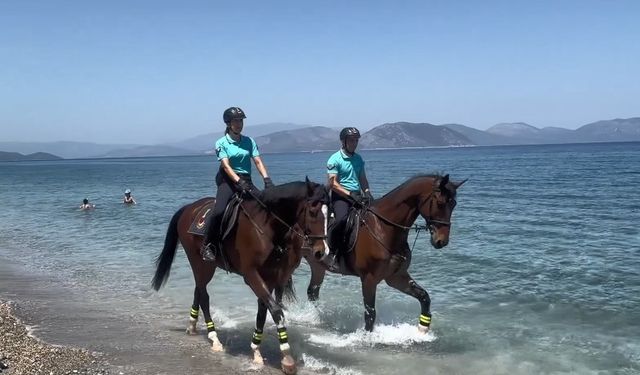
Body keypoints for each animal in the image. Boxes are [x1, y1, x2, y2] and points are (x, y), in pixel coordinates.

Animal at [152, 180, 328, 375]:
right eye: (313, 212)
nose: (321, 251)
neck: (267, 228)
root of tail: (189, 207)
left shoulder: (272, 277)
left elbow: (263, 311)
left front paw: (257, 350)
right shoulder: (251, 275)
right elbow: (276, 310)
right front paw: (287, 358)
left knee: (198, 289)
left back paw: (192, 325)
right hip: (200, 263)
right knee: (204, 295)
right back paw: (214, 338)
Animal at [304, 175, 464, 334]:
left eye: (454, 204)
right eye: (440, 203)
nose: (441, 241)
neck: (383, 228)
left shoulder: (396, 276)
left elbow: (424, 296)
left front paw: (422, 328)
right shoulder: (368, 279)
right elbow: (370, 314)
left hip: (318, 266)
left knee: (313, 292)